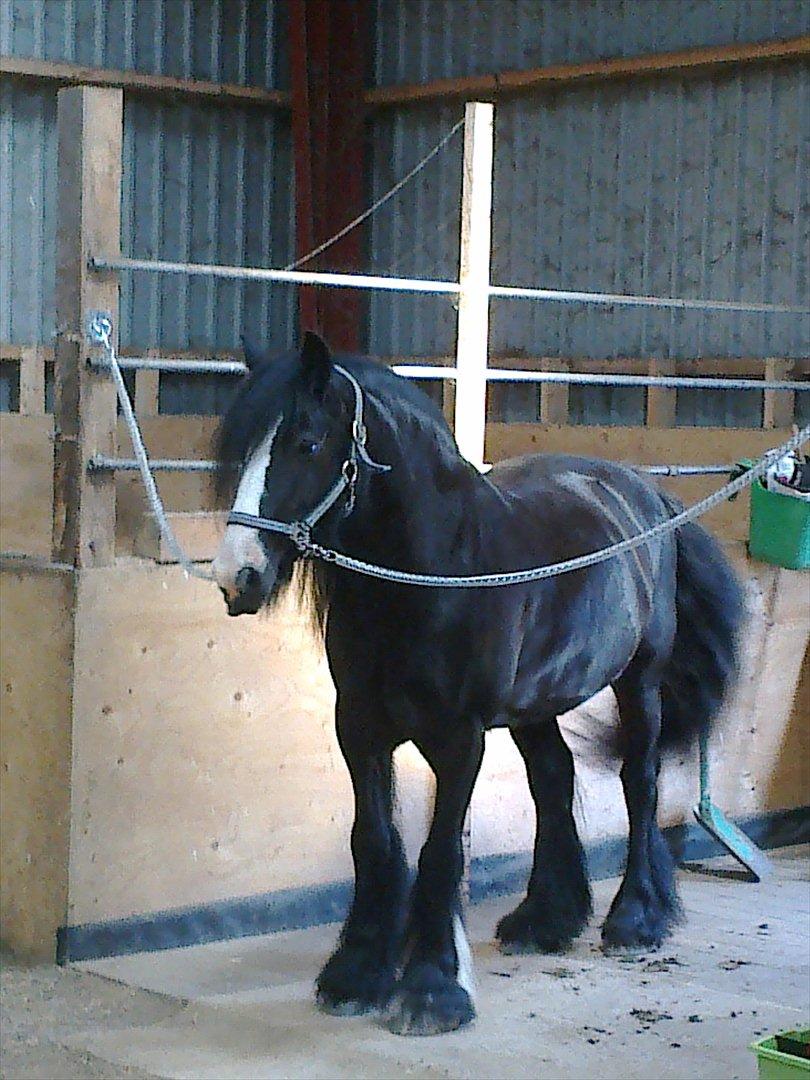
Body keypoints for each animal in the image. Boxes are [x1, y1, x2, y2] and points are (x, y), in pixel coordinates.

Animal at [212, 330, 747, 1036]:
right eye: (239, 448)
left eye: (306, 442)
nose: (236, 575)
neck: (435, 576)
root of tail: (647, 498)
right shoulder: (359, 730)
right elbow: (374, 842)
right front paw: (357, 973)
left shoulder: (459, 739)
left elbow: (441, 853)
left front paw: (433, 988)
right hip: (536, 704)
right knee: (553, 779)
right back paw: (546, 918)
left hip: (641, 684)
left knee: (640, 782)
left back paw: (637, 917)